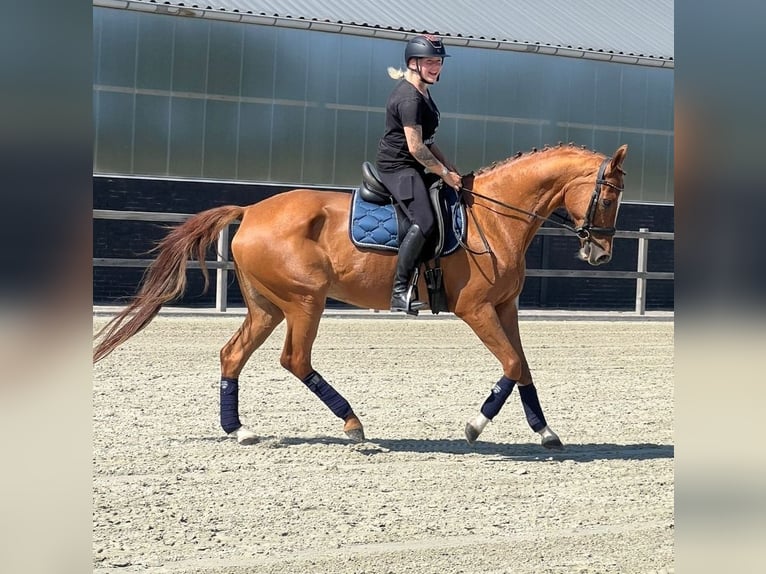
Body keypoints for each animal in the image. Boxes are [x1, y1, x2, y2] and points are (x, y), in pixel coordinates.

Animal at [94, 143, 627, 449]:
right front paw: (475, 427)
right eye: (607, 195)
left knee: (232, 354)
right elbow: (513, 365)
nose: (599, 253)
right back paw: (353, 424)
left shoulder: (505, 307)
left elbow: (523, 367)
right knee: (295, 360)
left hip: (268, 307)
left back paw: (240, 430)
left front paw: (545, 431)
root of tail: (250, 209)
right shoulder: (475, 309)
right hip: (304, 302)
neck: (494, 218)